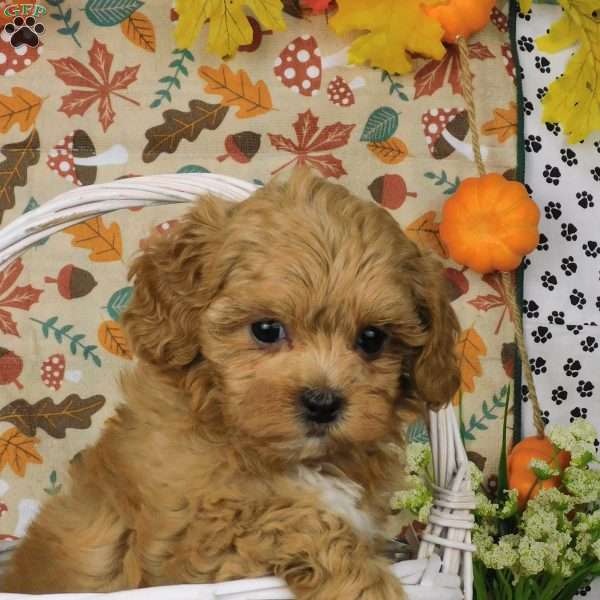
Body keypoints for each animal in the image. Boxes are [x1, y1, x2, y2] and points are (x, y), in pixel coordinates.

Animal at [3, 170, 460, 600]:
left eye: (372, 339)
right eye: (266, 330)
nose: (323, 402)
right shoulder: (197, 546)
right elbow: (293, 518)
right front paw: (368, 586)